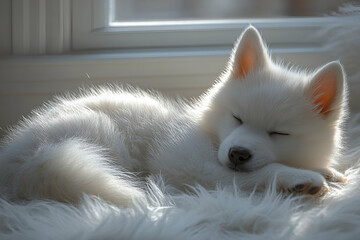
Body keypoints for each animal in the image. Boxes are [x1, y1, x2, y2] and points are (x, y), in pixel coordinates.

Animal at [0, 26, 348, 206]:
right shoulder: (190, 165)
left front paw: (327, 171)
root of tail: (21, 160)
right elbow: (253, 175)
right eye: (237, 118)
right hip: (97, 132)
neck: (207, 133)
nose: (237, 154)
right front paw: (299, 178)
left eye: (279, 133)